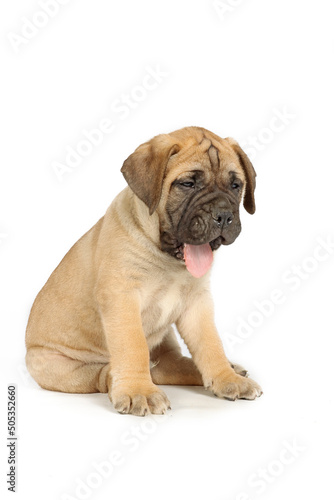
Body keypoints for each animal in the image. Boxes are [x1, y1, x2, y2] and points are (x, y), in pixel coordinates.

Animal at [25, 127, 260, 416]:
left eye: (236, 185)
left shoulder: (198, 301)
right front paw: (139, 391)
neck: (168, 260)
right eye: (188, 184)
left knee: (169, 366)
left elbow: (210, 343)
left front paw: (226, 378)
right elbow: (132, 345)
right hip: (57, 367)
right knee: (104, 374)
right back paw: (118, 378)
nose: (224, 216)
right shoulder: (122, 297)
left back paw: (229, 369)